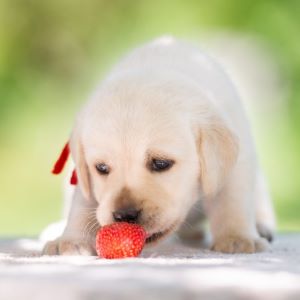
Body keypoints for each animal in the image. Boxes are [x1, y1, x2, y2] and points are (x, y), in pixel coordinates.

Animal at [43, 35, 276, 255]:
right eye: (101, 168)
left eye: (161, 163)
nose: (124, 215)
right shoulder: (84, 178)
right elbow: (82, 204)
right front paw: (72, 240)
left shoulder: (238, 160)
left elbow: (232, 200)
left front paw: (236, 238)